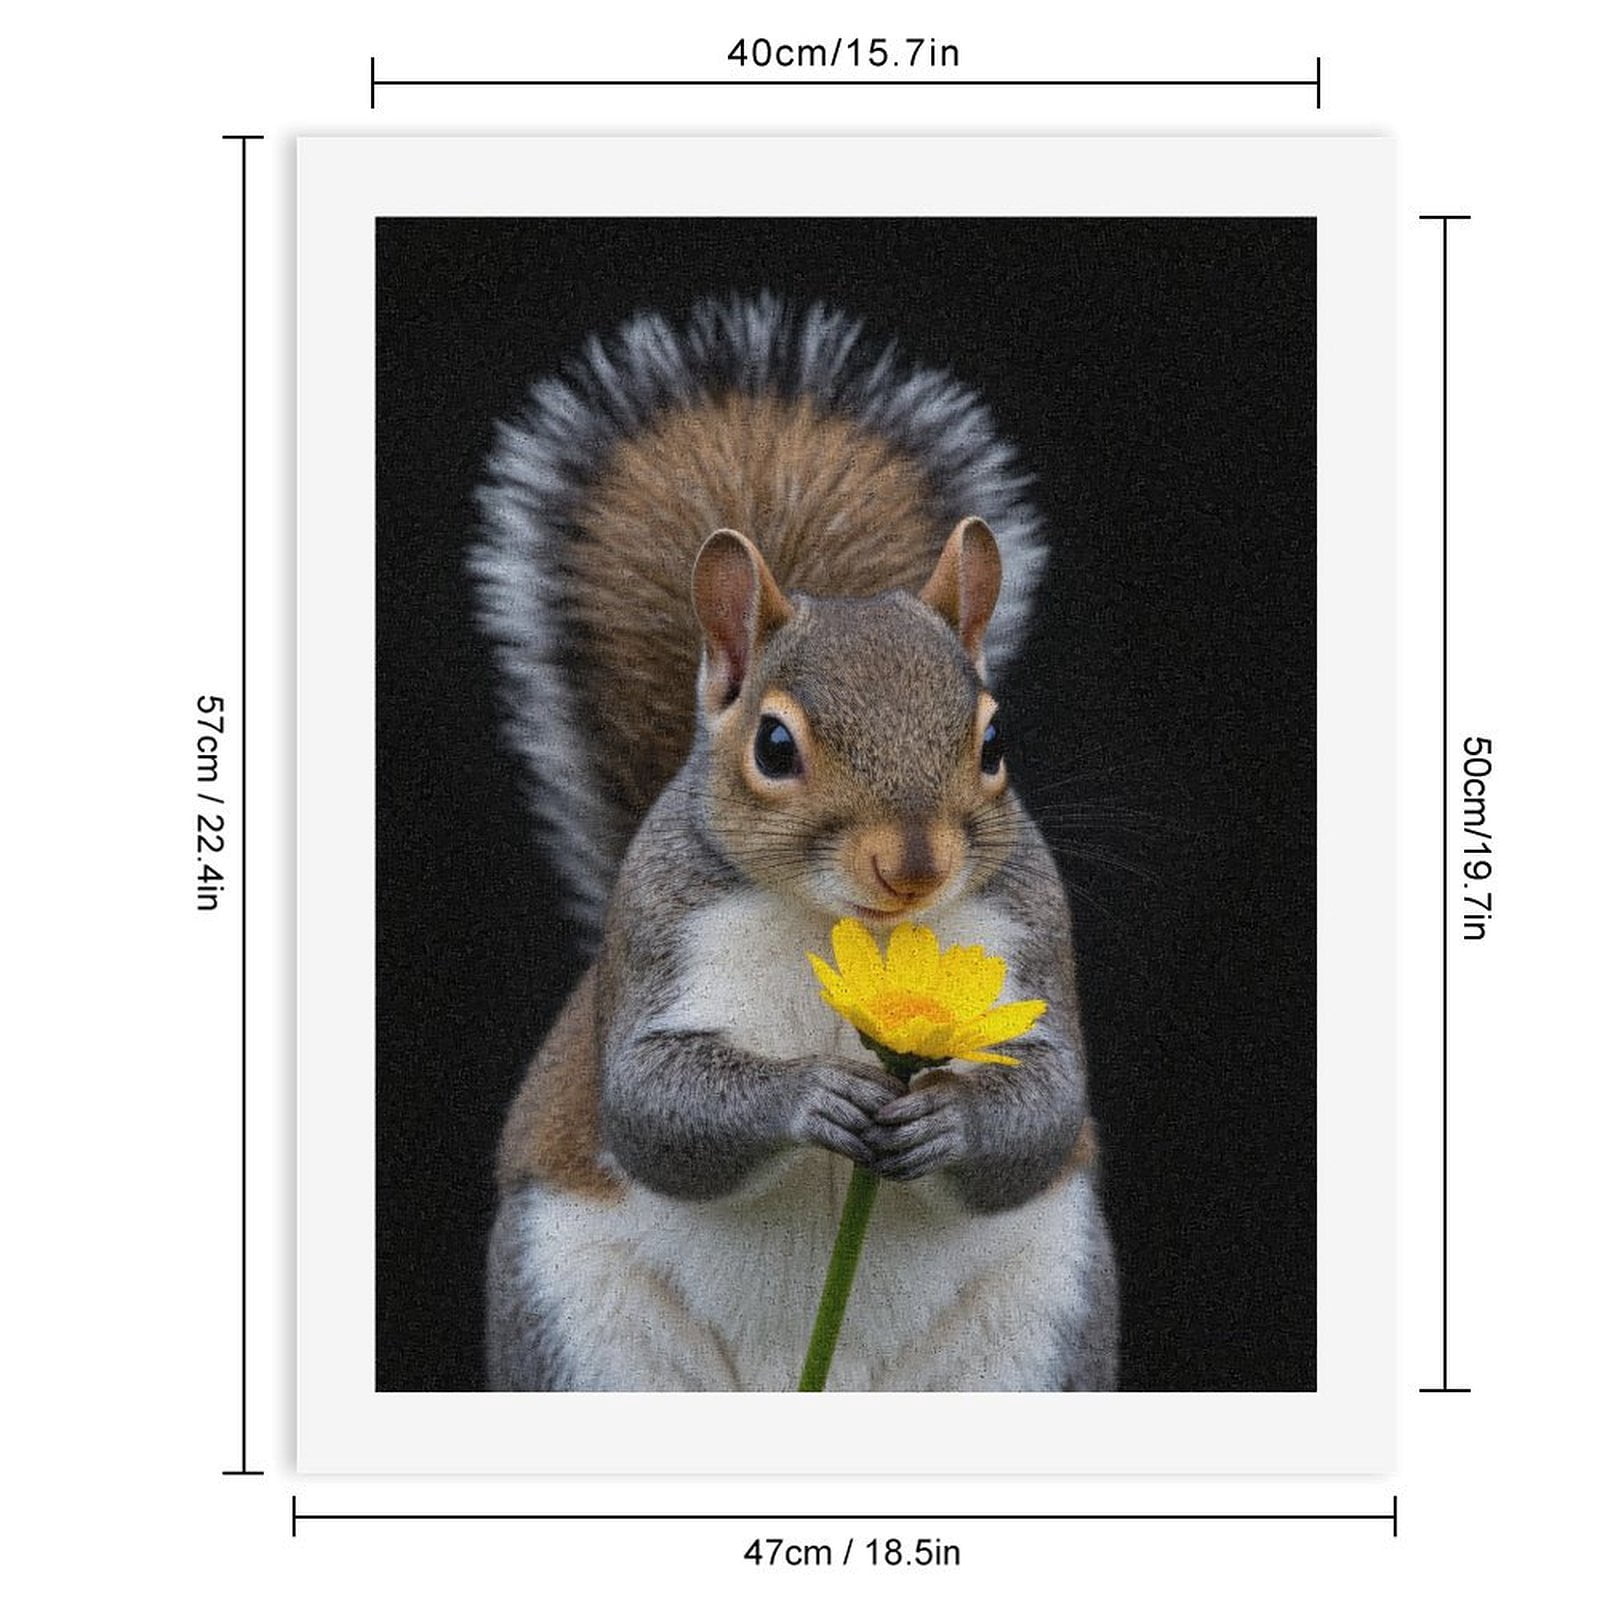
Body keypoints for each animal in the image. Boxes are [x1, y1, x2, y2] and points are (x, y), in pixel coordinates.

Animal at [473, 295, 1117, 1391]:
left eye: (994, 741)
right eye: (774, 746)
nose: (915, 866)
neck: (843, 924)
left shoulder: (1031, 935)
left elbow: (1046, 1107)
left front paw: (948, 1116)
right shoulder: (655, 937)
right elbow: (650, 1103)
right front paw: (809, 1092)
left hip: (1039, 1325)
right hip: (582, 1330)